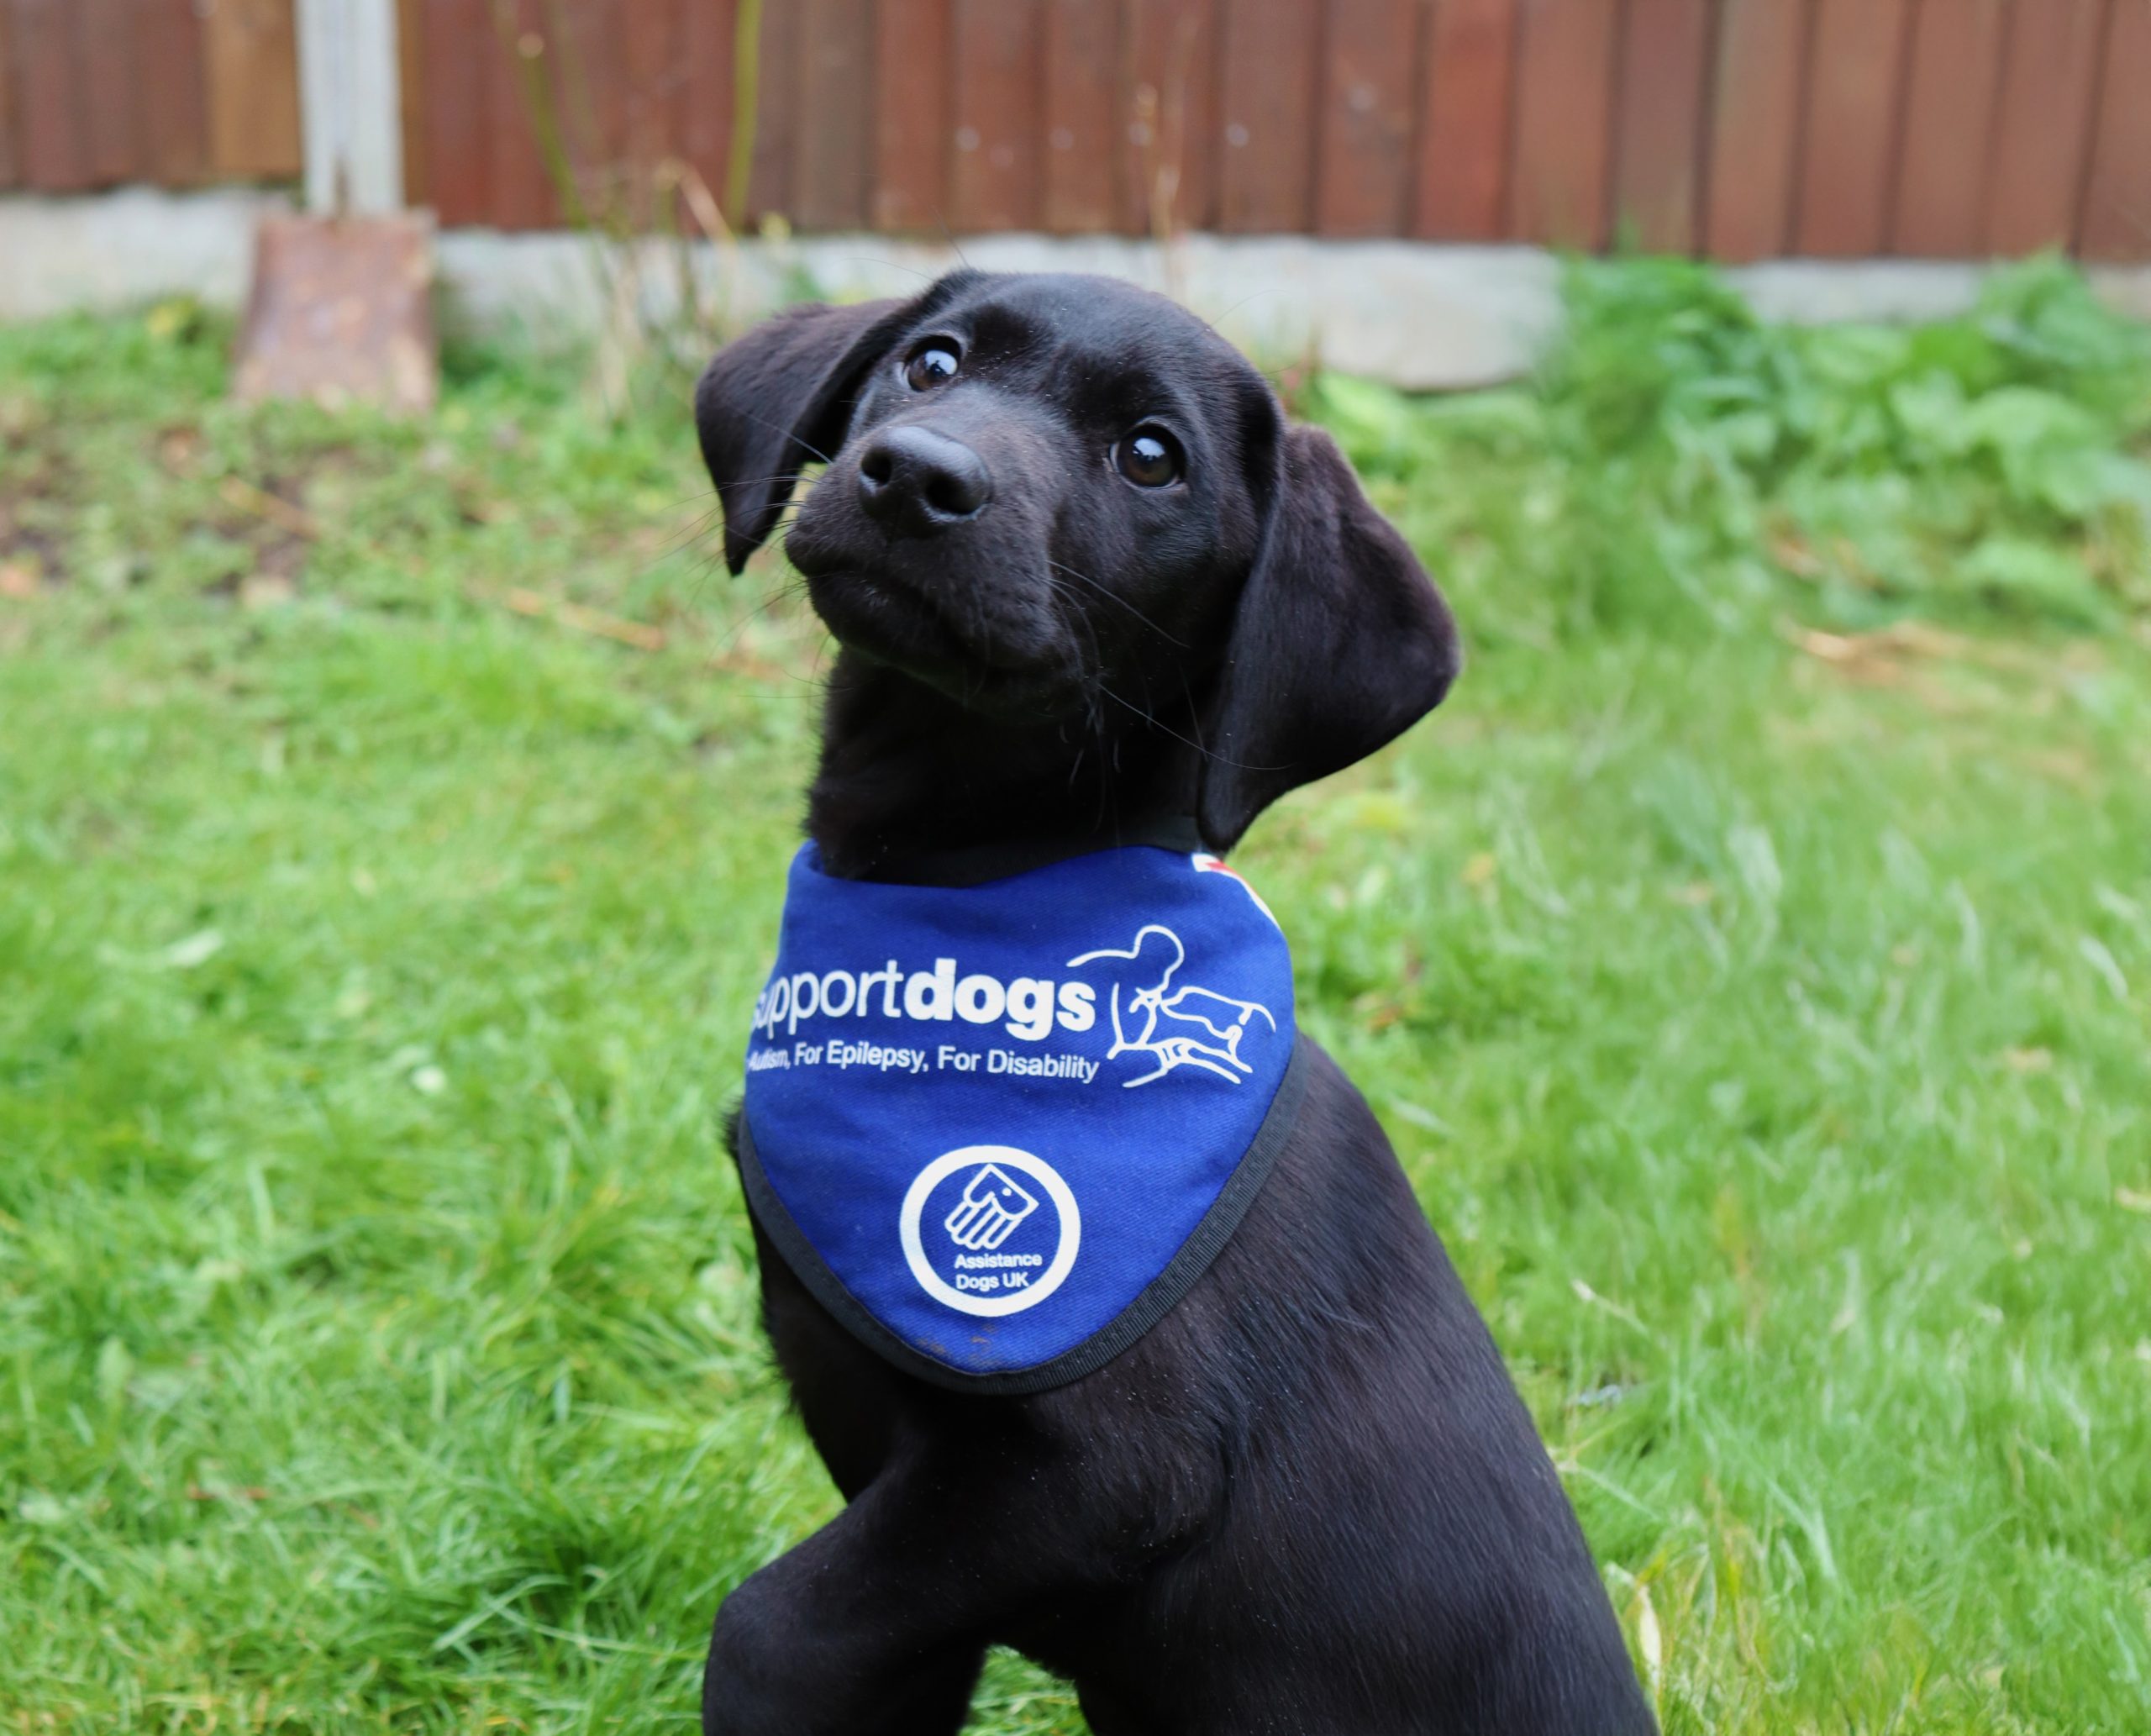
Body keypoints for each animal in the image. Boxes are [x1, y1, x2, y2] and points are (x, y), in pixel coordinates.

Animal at [688, 275, 1643, 1736]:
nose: (916, 475)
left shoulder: (1098, 1467)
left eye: (1151, 456)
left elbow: (768, 1627)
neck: (980, 883)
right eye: (932, 362)